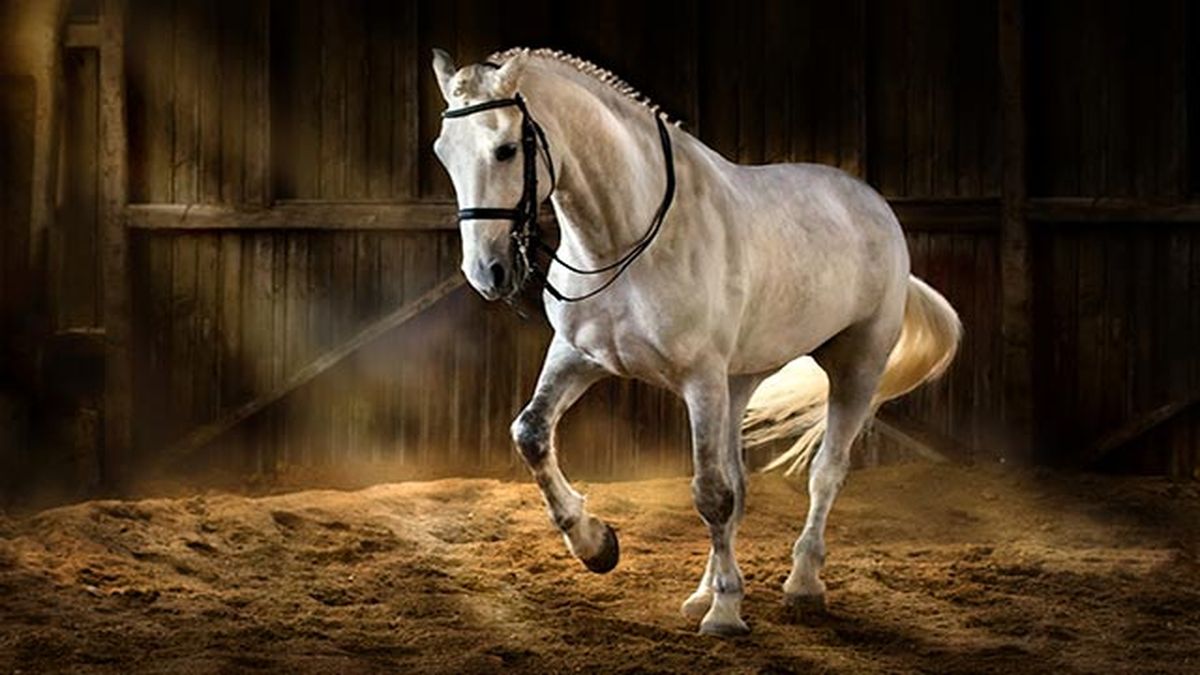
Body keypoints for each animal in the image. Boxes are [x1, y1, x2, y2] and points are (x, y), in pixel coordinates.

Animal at [431, 47, 961, 637]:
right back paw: (703, 591)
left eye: (504, 150)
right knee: (740, 483)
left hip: (854, 365)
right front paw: (597, 546)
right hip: (739, 382)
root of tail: (874, 204)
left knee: (825, 473)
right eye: (443, 154)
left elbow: (711, 494)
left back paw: (801, 584)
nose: (487, 273)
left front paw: (726, 613)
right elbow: (531, 433)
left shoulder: (700, 380)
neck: (627, 241)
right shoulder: (579, 357)